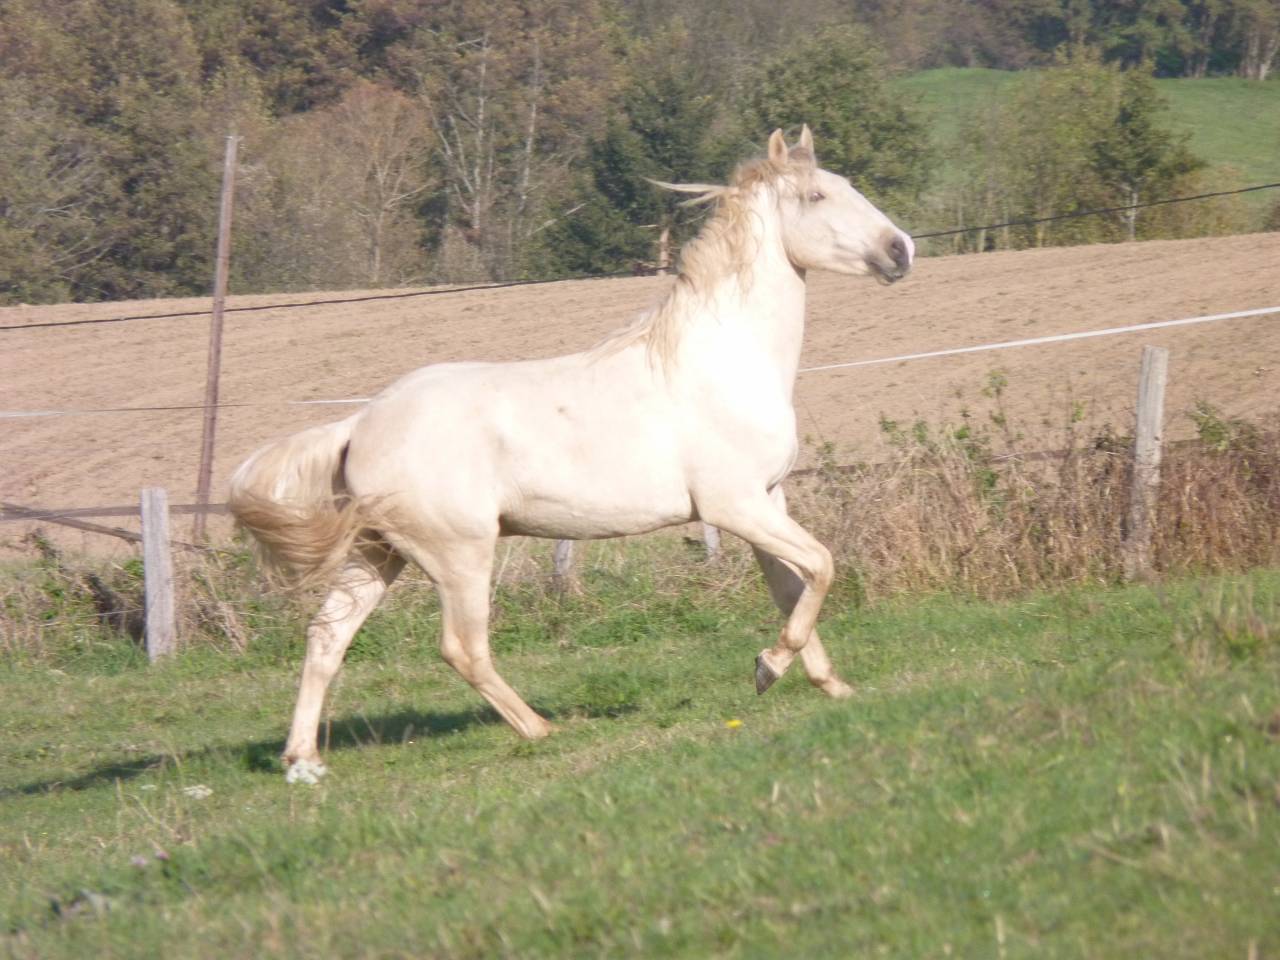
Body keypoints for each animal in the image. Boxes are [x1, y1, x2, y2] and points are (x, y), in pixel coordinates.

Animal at [229, 127, 914, 784]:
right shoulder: (734, 506)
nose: (901, 249)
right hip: (459, 555)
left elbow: (793, 586)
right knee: (461, 647)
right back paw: (539, 728)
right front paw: (770, 665)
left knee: (326, 636)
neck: (721, 362)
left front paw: (825, 684)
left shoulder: (767, 500)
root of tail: (361, 423)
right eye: (817, 196)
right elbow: (823, 565)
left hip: (379, 553)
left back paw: (303, 761)